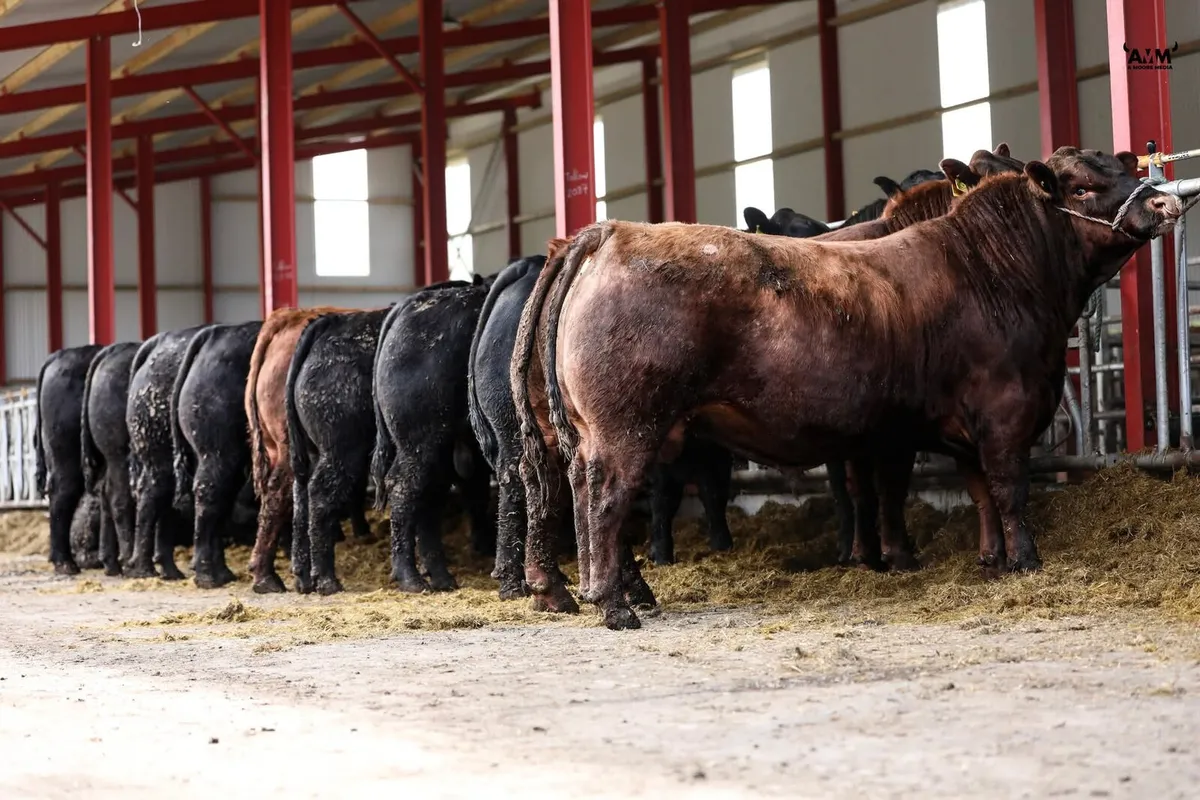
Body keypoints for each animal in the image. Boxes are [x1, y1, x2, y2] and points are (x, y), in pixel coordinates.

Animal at [287, 308, 387, 595]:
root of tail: (330, 321)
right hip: (342, 448)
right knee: (319, 494)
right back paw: (326, 580)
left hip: (310, 452)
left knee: (301, 497)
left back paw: (304, 578)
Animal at [373, 278, 498, 594]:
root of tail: (411, 304)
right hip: (420, 440)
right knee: (404, 489)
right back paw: (410, 577)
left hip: (439, 448)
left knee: (429, 498)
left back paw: (441, 576)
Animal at [512, 147, 1181, 630]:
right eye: (1083, 187)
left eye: (1123, 167)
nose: (1162, 204)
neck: (993, 270)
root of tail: (611, 232)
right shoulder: (1002, 410)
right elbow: (1003, 488)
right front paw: (1021, 561)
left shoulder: (958, 425)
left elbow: (977, 490)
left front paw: (990, 562)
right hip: (625, 427)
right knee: (604, 498)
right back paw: (612, 603)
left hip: (581, 430)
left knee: (563, 490)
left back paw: (574, 592)